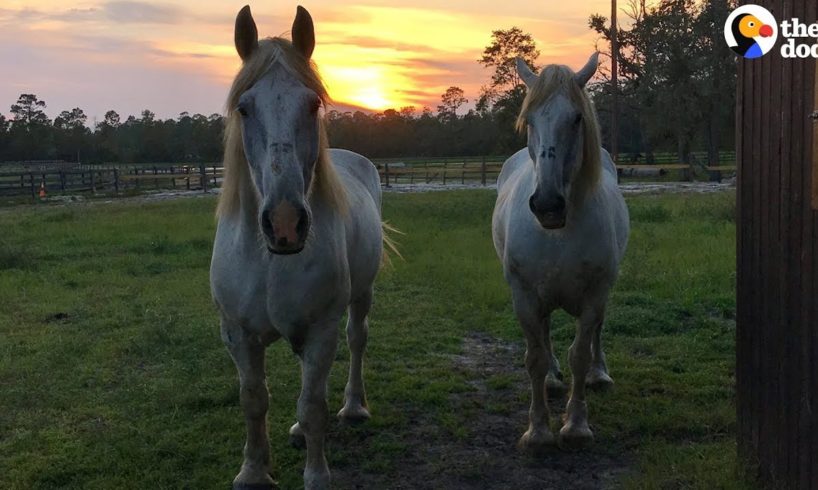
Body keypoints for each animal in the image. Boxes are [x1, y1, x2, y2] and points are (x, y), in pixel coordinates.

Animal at [210, 4, 388, 490]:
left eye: (312, 105)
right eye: (244, 108)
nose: (285, 224)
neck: (270, 261)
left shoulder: (322, 329)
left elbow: (314, 406)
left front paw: (317, 474)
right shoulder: (237, 333)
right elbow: (253, 400)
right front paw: (253, 471)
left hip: (362, 297)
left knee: (358, 340)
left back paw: (355, 406)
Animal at [488, 53, 628, 452]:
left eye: (577, 118)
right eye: (530, 119)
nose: (547, 205)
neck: (559, 232)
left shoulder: (596, 294)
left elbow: (580, 354)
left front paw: (576, 425)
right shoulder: (524, 296)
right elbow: (534, 357)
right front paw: (537, 431)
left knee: (595, 334)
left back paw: (599, 374)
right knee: (546, 332)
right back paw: (551, 379)